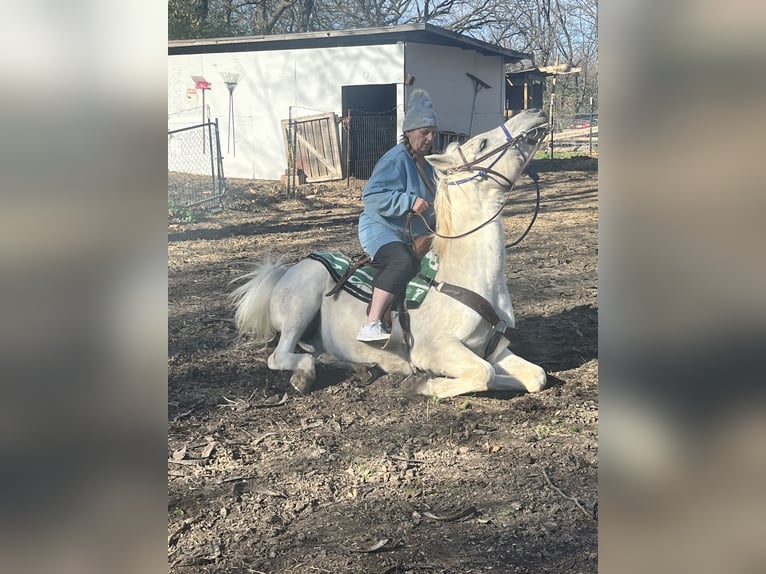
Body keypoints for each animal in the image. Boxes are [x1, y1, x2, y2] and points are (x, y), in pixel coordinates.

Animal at [232, 109, 552, 400]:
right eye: (483, 143)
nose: (534, 113)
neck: (468, 279)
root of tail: (284, 273)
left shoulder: (495, 348)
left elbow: (535, 376)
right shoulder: (435, 349)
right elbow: (485, 373)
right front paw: (425, 383)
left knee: (317, 351)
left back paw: (351, 364)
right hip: (300, 309)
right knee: (281, 356)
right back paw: (305, 375)